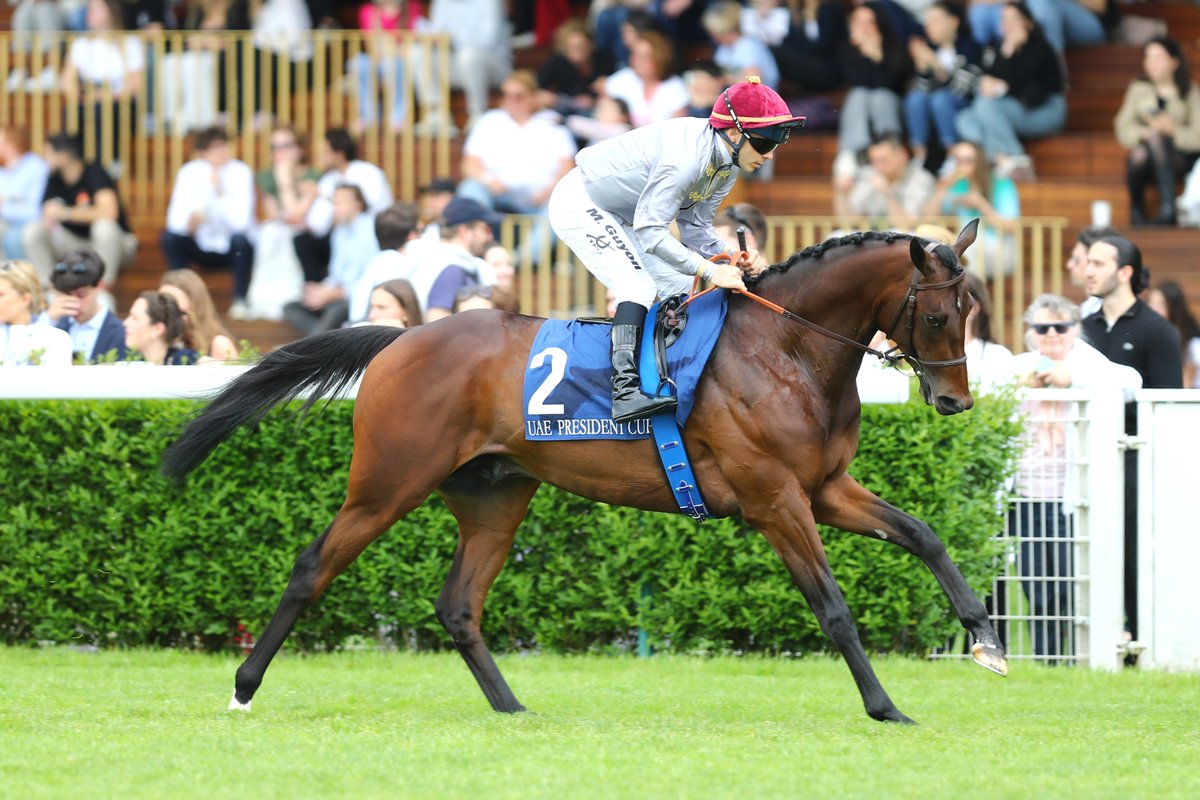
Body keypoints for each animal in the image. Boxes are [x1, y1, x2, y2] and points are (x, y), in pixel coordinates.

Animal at [163, 219, 1007, 724]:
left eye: (972, 311)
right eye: (939, 314)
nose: (955, 401)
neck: (786, 351)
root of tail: (401, 338)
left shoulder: (824, 489)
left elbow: (924, 534)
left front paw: (985, 638)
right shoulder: (774, 499)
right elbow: (832, 607)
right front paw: (885, 706)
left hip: (496, 495)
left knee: (458, 605)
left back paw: (511, 708)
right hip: (385, 484)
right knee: (313, 569)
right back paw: (243, 689)